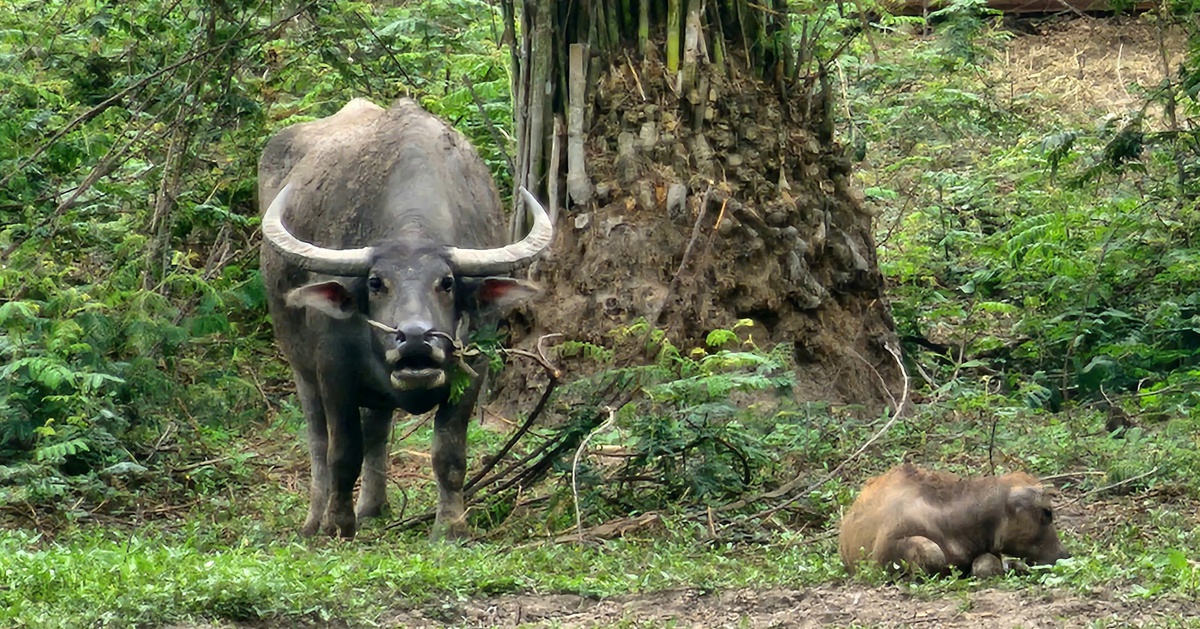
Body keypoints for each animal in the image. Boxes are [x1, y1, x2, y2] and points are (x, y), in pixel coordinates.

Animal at [260, 98, 554, 540]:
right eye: (376, 283)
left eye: (446, 282)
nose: (415, 339)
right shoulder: (333, 370)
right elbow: (342, 451)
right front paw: (338, 524)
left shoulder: (474, 367)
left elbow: (449, 452)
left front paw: (451, 526)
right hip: (301, 367)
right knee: (318, 440)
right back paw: (315, 519)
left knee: (378, 428)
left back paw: (373, 506)